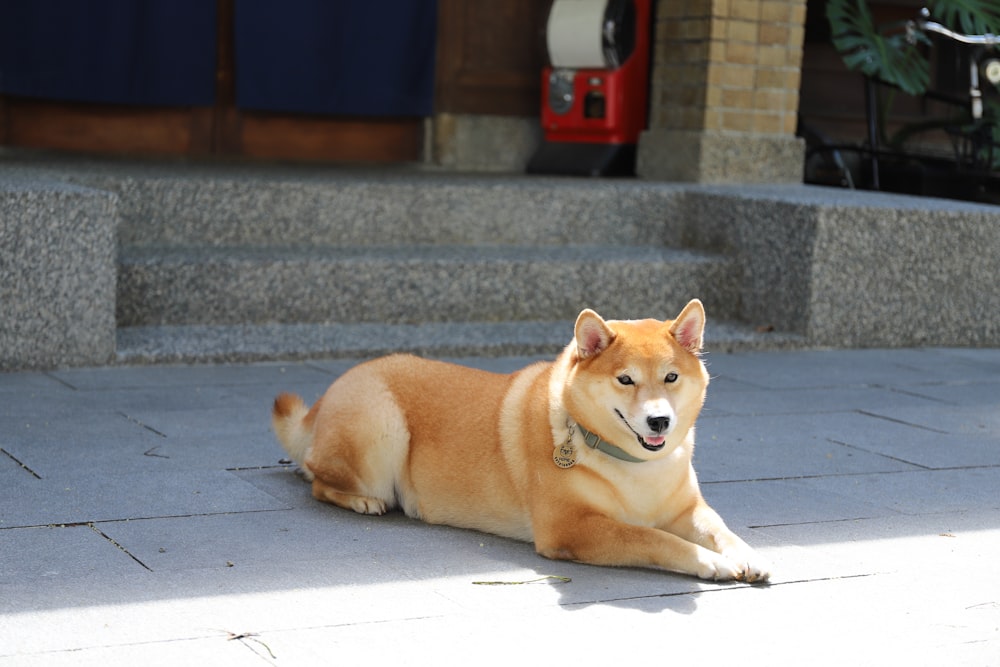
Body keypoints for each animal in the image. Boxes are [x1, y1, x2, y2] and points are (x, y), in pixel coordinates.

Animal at [270, 300, 768, 580]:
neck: (634, 468)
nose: (660, 421)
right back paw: (361, 500)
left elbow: (718, 529)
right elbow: (656, 540)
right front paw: (711, 563)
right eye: (625, 380)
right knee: (317, 477)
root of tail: (327, 395)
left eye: (671, 378)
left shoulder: (686, 508)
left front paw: (746, 554)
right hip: (380, 426)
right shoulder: (571, 527)